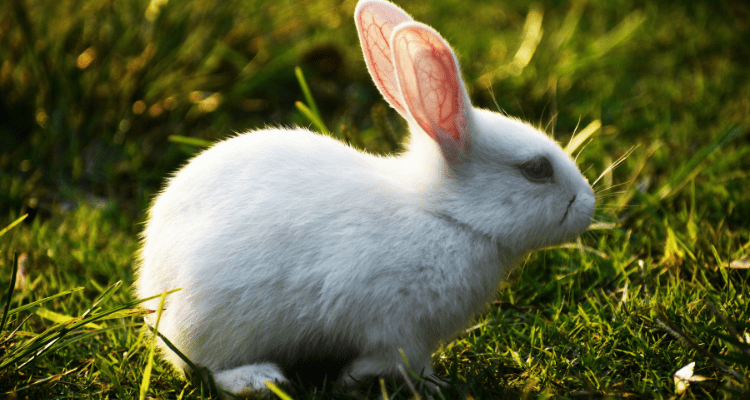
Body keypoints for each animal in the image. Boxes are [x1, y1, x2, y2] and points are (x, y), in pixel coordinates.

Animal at [135, 0, 596, 396]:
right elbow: (400, 362)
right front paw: (416, 383)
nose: (589, 204)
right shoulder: (400, 329)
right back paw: (259, 378)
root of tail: (151, 284)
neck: (445, 216)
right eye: (536, 169)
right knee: (203, 367)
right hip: (212, 322)